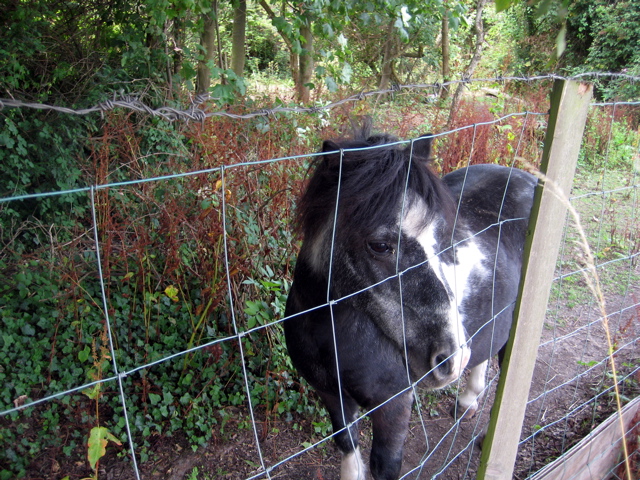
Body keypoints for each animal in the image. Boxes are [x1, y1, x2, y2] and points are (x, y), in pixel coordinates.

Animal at [283, 125, 537, 480]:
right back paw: (467, 402)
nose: (450, 358)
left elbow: (385, 466)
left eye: (442, 239)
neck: (329, 334)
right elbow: (347, 446)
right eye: (379, 245)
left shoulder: (394, 404)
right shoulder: (331, 396)